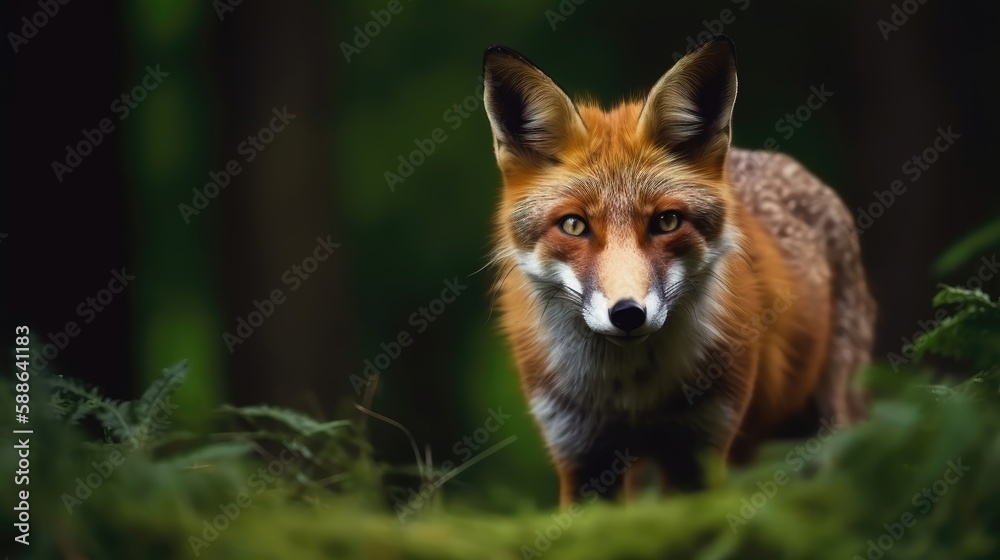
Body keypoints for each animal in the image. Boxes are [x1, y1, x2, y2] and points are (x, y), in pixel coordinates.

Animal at [482, 36, 876, 506]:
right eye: (574, 225)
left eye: (666, 222)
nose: (628, 314)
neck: (632, 394)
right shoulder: (580, 453)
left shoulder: (699, 447)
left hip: (825, 421)